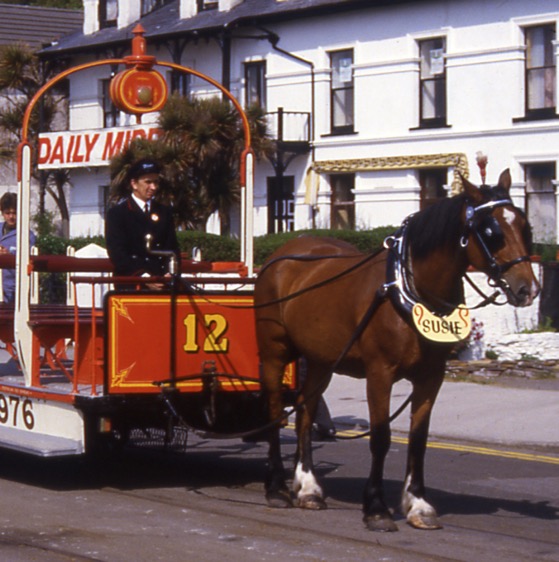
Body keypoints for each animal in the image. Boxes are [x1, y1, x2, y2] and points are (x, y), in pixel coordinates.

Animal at [256, 170, 540, 528]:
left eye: (525, 227)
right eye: (492, 232)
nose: (528, 289)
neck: (407, 290)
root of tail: (282, 255)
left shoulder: (431, 376)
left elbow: (419, 440)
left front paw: (417, 503)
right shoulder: (380, 373)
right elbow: (381, 437)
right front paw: (376, 507)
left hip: (321, 359)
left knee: (306, 410)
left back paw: (308, 488)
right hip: (274, 352)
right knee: (275, 411)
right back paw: (276, 487)